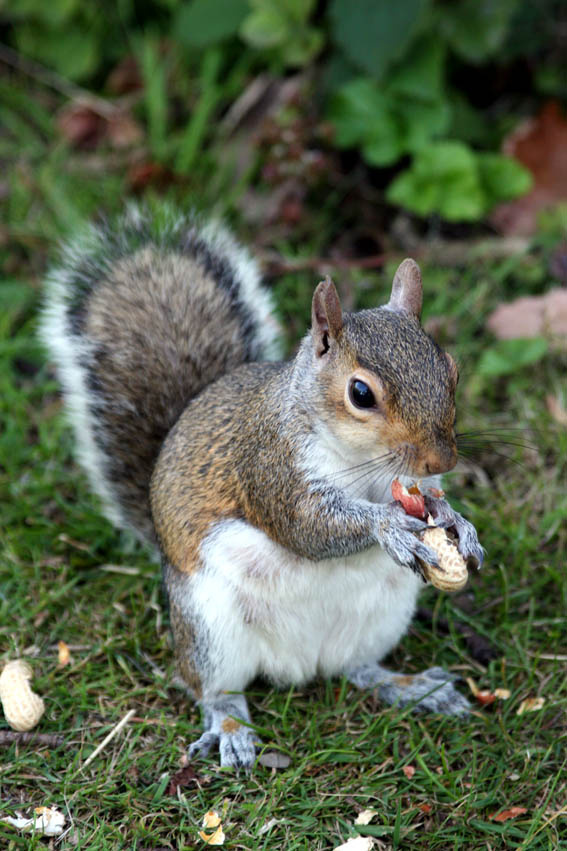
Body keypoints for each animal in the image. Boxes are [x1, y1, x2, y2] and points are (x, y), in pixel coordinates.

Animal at [41, 203, 483, 770]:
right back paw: (231, 729)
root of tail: (301, 665)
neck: (363, 466)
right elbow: (307, 529)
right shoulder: (270, 468)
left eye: (449, 369)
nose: (442, 458)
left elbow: (430, 501)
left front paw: (457, 524)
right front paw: (387, 526)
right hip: (209, 628)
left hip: (381, 618)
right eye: (360, 393)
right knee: (212, 689)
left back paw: (411, 686)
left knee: (359, 668)